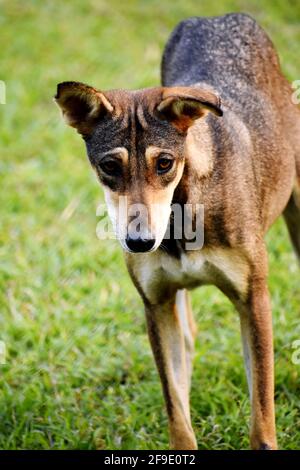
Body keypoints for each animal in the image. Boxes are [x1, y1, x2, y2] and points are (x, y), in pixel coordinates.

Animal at [55, 12, 300, 450]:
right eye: (109, 167)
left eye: (165, 163)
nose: (139, 242)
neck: (182, 214)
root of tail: (218, 16)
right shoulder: (157, 304)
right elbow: (177, 413)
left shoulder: (253, 300)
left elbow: (261, 416)